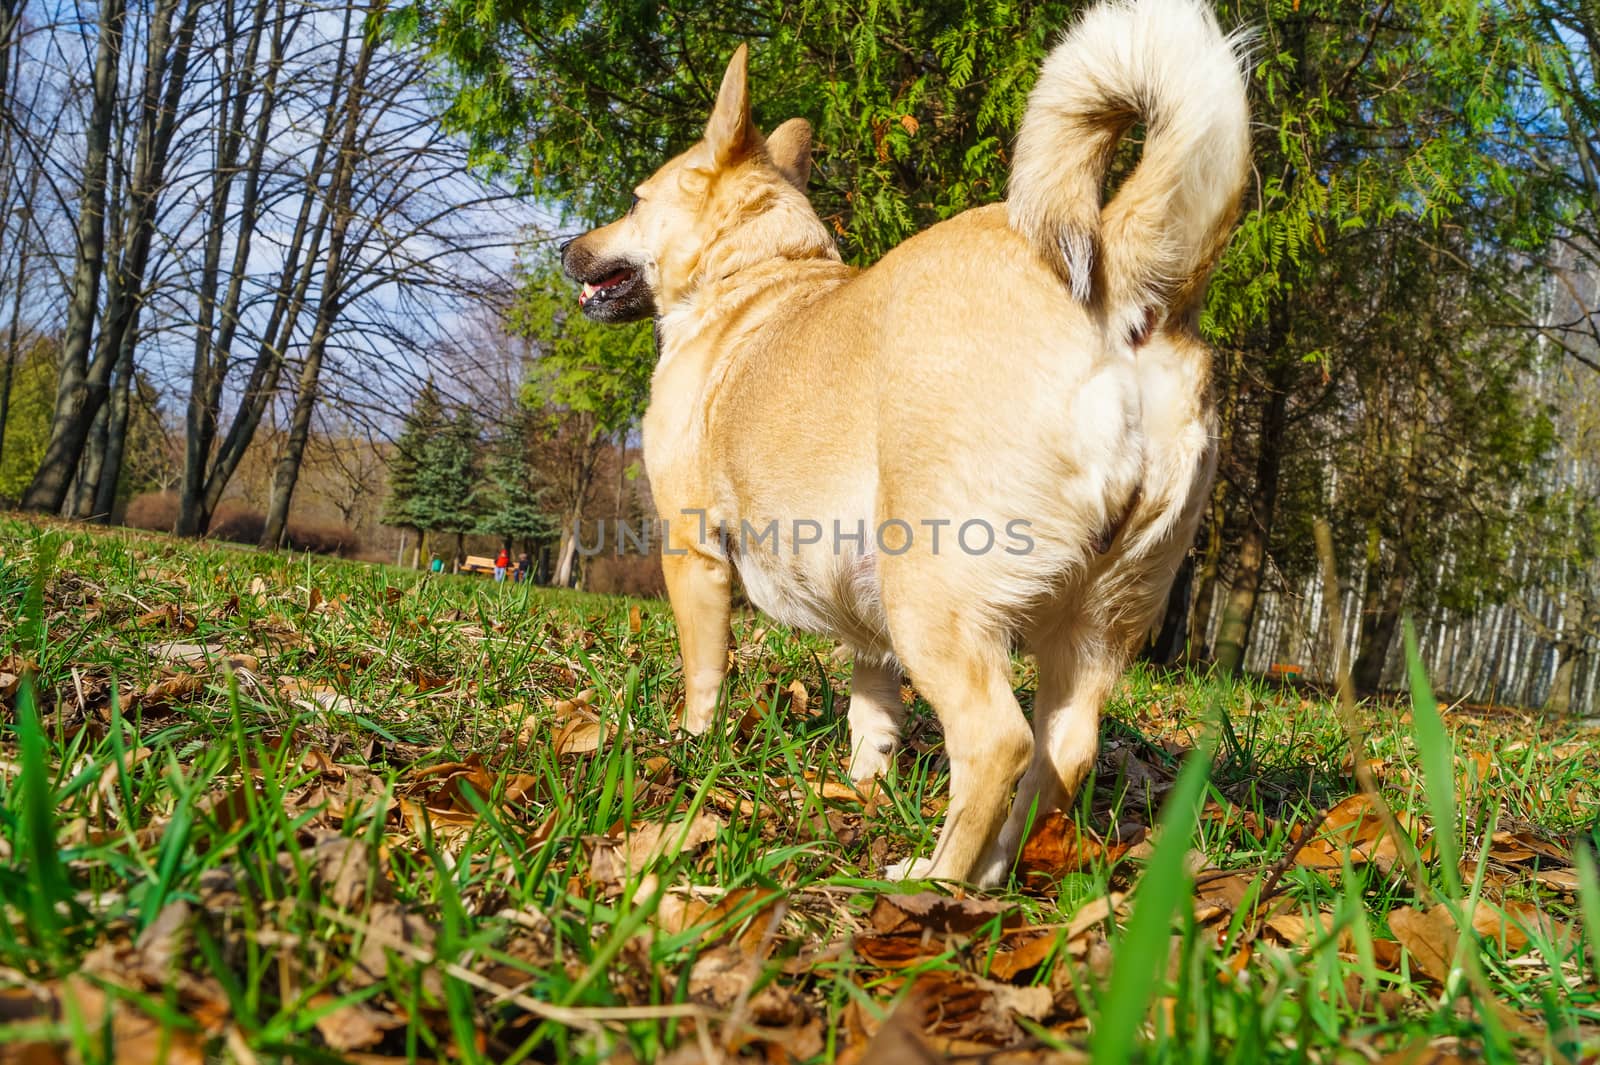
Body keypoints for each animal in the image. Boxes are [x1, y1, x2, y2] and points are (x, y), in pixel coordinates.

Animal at [563, 0, 1248, 882]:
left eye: (636, 199)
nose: (569, 246)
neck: (758, 274)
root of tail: (1118, 275)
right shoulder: (868, 615)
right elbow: (873, 709)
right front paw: (864, 786)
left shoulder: (694, 552)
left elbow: (705, 671)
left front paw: (691, 746)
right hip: (1096, 621)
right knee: (1060, 752)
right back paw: (989, 871)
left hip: (934, 596)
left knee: (997, 741)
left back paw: (935, 877)